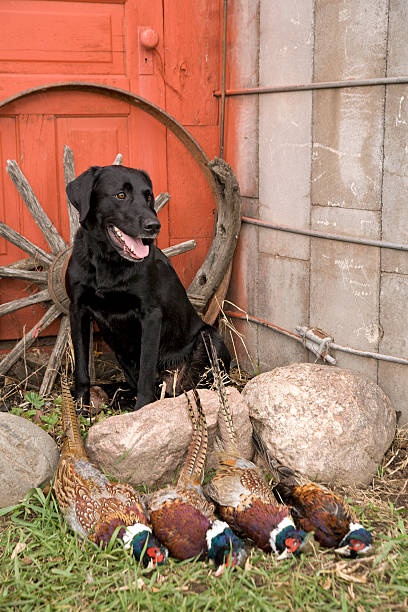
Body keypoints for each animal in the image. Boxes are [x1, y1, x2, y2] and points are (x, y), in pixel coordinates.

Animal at [65, 165, 228, 412]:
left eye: (149, 197)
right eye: (120, 195)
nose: (154, 226)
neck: (107, 262)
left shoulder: (150, 315)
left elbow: (146, 371)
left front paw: (141, 410)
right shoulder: (78, 310)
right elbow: (82, 369)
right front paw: (81, 409)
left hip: (211, 338)